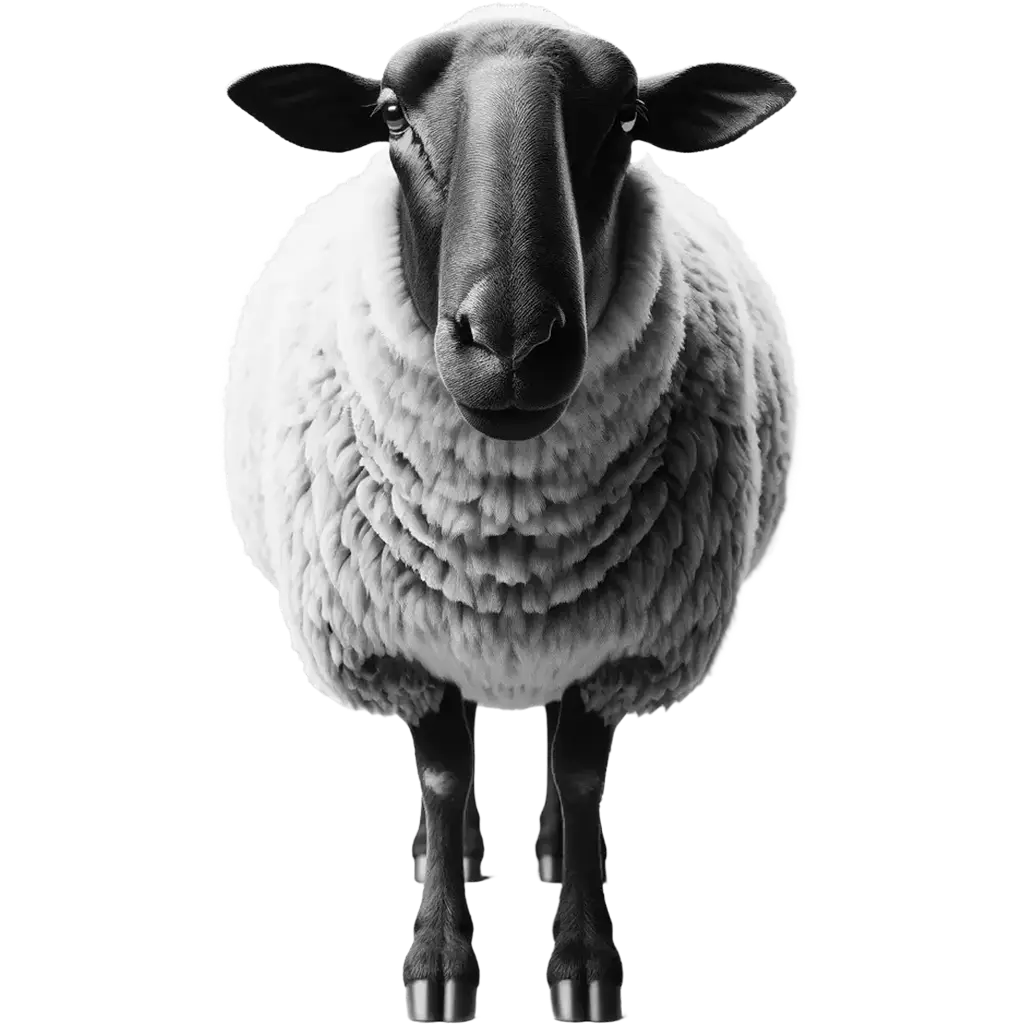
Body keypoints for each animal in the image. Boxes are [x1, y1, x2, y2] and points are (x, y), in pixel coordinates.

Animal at [221, 4, 801, 1022]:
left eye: (626, 121)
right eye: (390, 116)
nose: (512, 340)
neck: (509, 535)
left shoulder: (623, 644)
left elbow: (580, 771)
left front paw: (584, 963)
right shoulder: (399, 646)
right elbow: (446, 772)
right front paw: (438, 960)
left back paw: (555, 846)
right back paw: (444, 849)